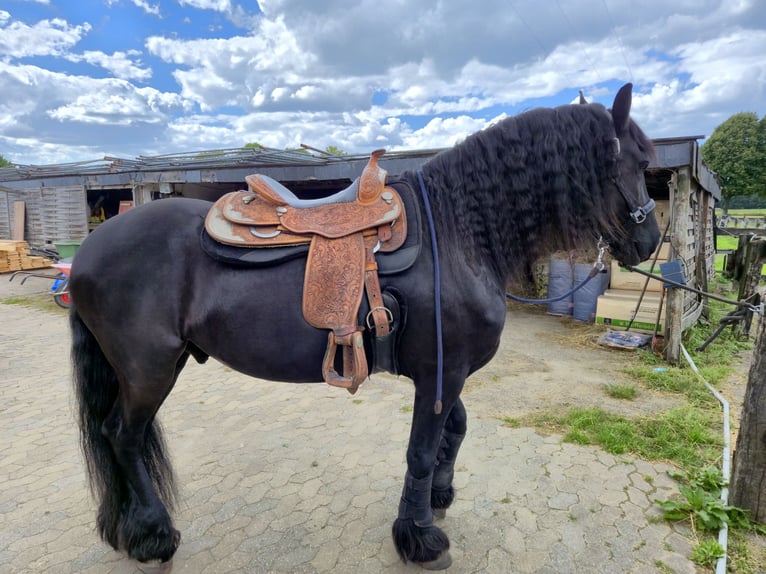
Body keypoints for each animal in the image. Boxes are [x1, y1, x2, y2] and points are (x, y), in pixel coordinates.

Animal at [69, 82, 660, 570]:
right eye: (635, 161)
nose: (651, 241)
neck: (458, 232)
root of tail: (90, 250)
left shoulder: (445, 372)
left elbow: (454, 431)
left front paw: (438, 499)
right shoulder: (441, 373)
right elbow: (421, 448)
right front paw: (419, 538)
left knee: (114, 436)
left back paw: (125, 530)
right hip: (148, 370)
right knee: (123, 437)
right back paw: (153, 536)